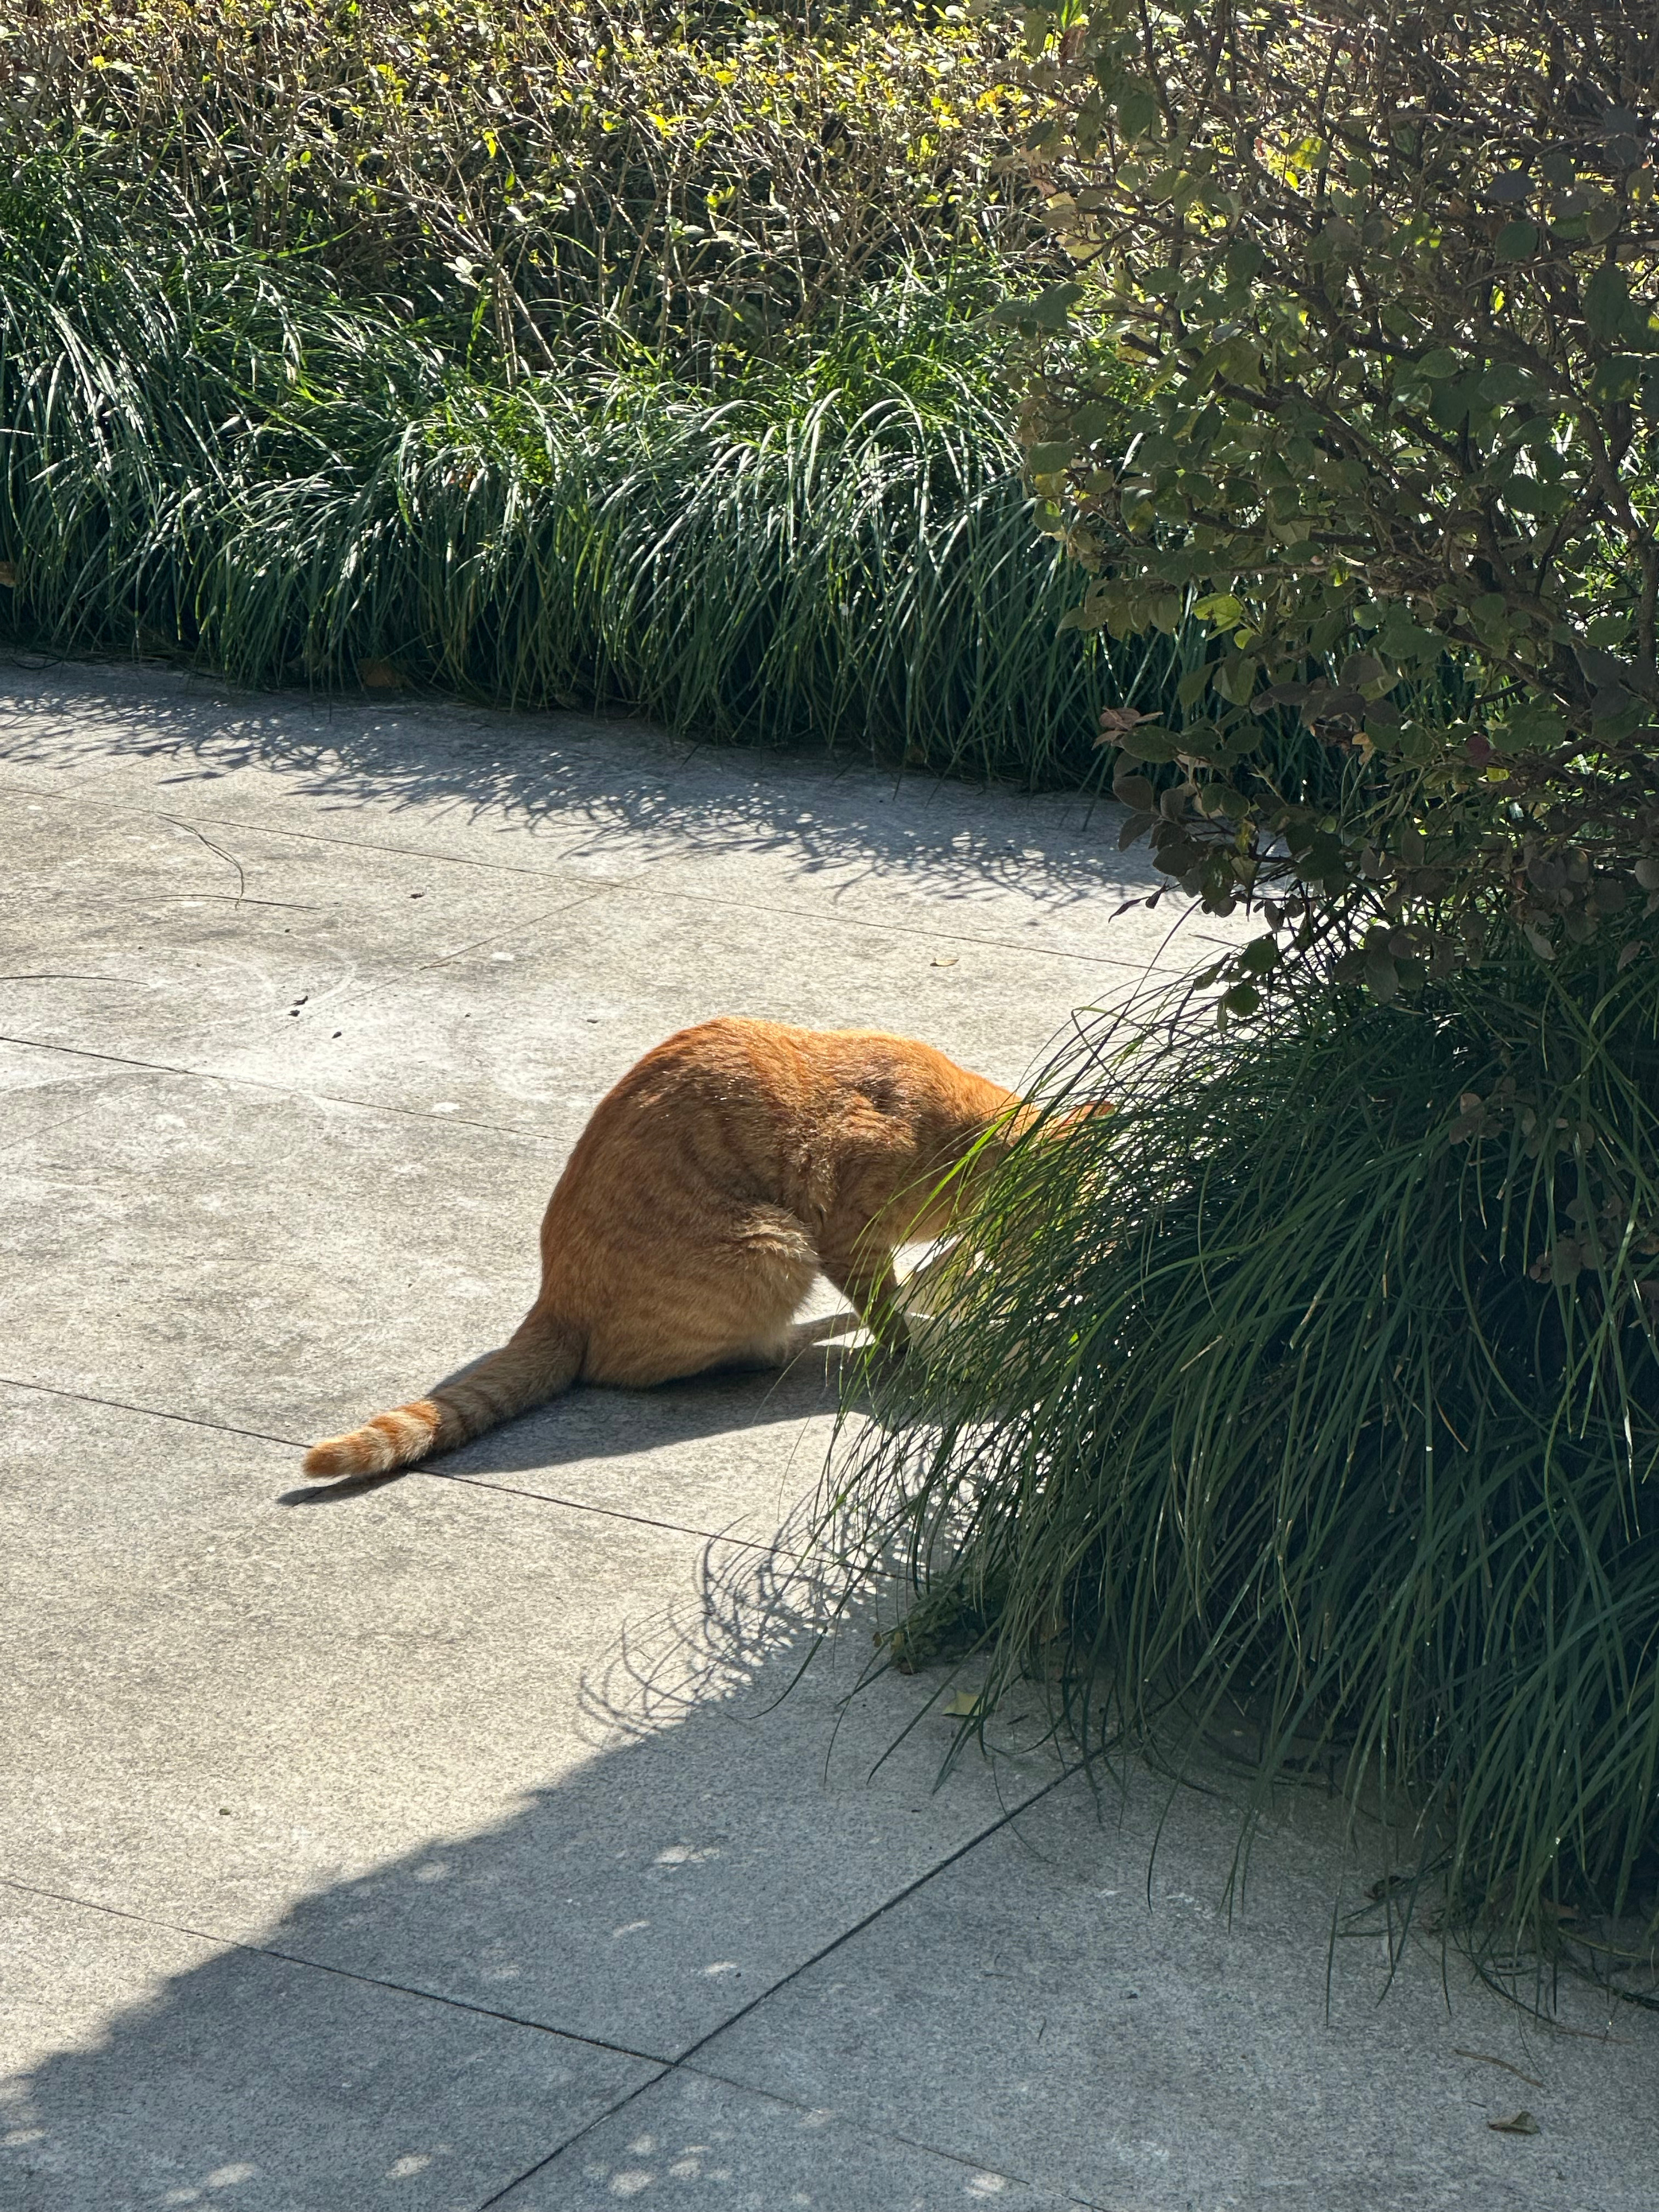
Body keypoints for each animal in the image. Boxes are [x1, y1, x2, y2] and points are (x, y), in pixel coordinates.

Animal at [303, 1022, 1026, 1486]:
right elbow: (888, 1313)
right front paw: (925, 1346)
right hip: (777, 1248)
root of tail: (554, 1302)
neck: (953, 1133)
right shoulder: (846, 1234)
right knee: (717, 1356)